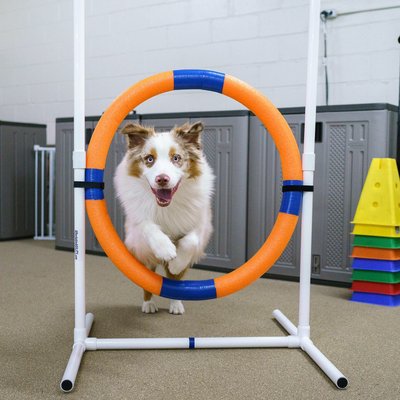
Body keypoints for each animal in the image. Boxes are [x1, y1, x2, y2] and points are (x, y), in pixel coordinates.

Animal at [114, 120, 214, 314]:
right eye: (149, 159)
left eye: (176, 158)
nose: (162, 179)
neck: (167, 206)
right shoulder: (136, 227)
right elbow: (148, 226)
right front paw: (166, 249)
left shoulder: (201, 222)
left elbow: (191, 241)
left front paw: (176, 262)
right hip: (145, 260)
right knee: (148, 283)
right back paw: (148, 304)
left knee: (174, 283)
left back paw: (176, 304)